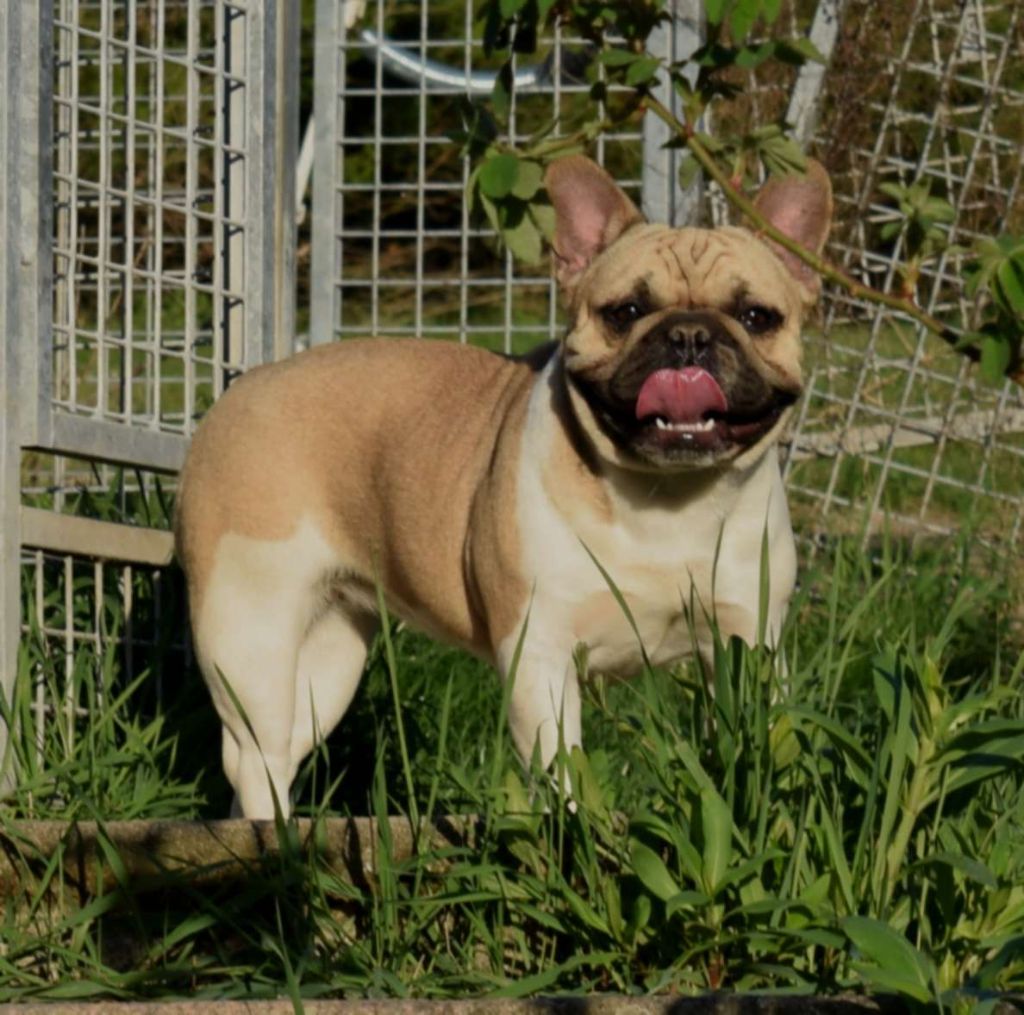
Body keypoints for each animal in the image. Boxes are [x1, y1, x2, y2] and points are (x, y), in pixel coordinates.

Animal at [176, 154, 831, 819]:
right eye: (624, 313)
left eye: (756, 317)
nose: (689, 335)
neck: (666, 498)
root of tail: (241, 390)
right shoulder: (540, 652)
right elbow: (561, 766)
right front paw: (573, 828)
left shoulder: (747, 640)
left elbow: (751, 737)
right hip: (249, 631)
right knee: (255, 753)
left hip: (330, 653)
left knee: (282, 751)